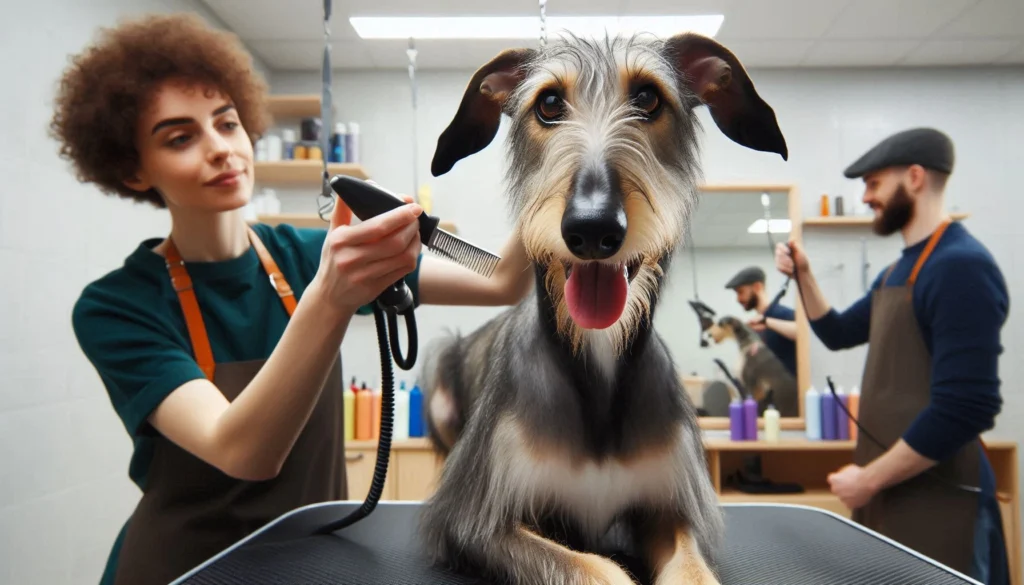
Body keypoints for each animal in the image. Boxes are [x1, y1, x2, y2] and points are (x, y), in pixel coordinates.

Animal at [415, 30, 782, 585]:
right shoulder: (474, 523)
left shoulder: (670, 509)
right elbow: (598, 571)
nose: (592, 229)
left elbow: (691, 571)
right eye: (548, 104)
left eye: (648, 97)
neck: (598, 353)